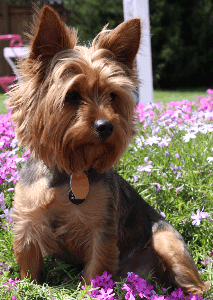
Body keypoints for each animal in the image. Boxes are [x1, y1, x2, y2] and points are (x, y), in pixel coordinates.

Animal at [6, 4, 210, 296]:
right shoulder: (28, 224)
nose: (106, 126)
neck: (72, 170)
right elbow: (29, 269)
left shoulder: (101, 230)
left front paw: (91, 293)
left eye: (113, 96)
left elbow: (96, 269)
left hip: (166, 241)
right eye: (72, 96)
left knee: (198, 286)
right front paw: (24, 289)